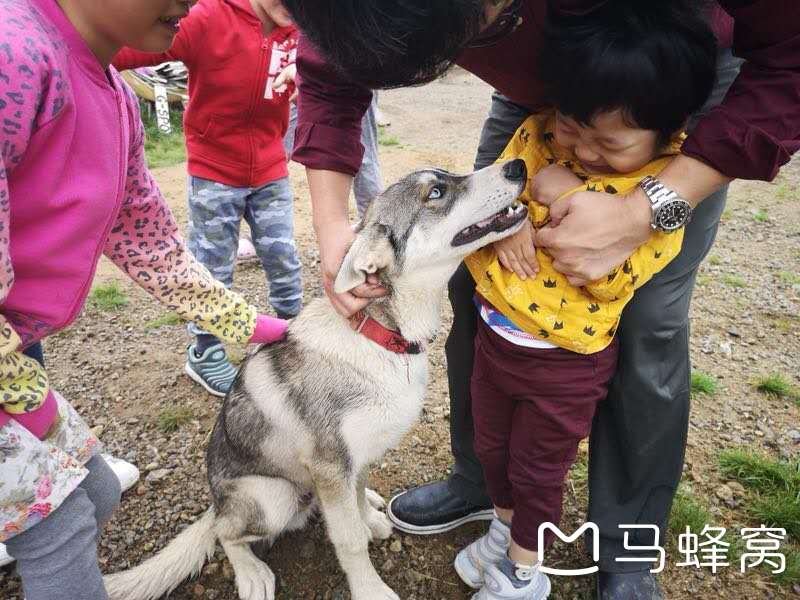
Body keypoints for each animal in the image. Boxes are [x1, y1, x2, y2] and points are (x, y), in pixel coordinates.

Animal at [106, 159, 532, 600]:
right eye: (435, 193)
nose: (518, 166)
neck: (380, 335)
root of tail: (216, 503)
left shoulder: (354, 458)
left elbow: (356, 500)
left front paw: (368, 517)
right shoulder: (331, 466)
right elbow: (349, 540)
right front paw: (370, 589)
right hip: (273, 496)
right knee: (227, 535)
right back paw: (251, 572)